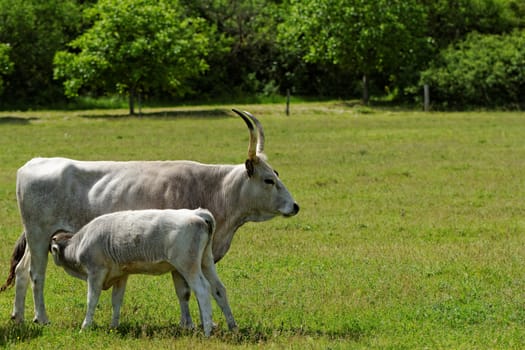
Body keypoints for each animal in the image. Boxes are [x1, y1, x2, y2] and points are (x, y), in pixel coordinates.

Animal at [1, 110, 298, 326]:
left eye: (277, 174)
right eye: (269, 180)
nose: (294, 206)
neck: (215, 189)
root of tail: (34, 162)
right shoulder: (181, 258)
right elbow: (185, 290)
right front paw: (190, 325)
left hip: (37, 238)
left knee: (22, 271)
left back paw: (19, 316)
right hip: (39, 235)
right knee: (37, 274)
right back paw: (41, 318)